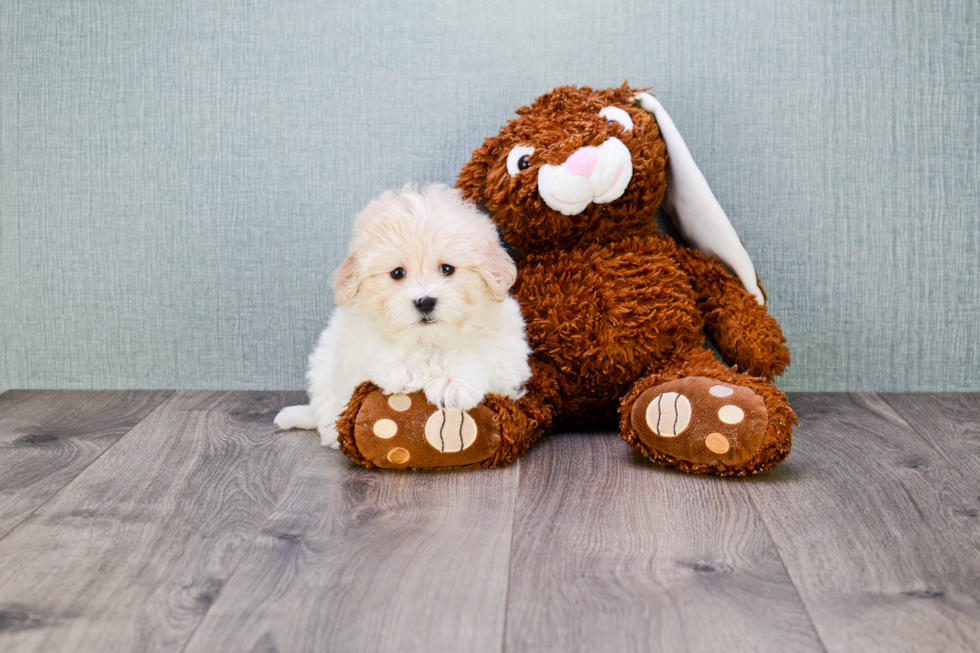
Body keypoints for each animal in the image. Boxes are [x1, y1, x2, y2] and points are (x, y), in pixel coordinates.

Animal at [276, 185, 532, 448]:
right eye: (397, 273)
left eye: (447, 269)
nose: (425, 302)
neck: (429, 339)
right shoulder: (353, 338)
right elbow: (377, 347)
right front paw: (405, 368)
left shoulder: (509, 353)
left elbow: (482, 355)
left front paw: (452, 380)